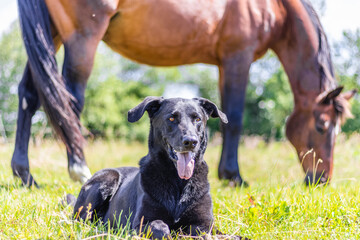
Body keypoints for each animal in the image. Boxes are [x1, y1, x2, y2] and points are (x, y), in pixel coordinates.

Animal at [14, 0, 354, 187]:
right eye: (322, 125)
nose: (320, 180)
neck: (275, 6)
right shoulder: (237, 56)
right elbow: (235, 118)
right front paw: (233, 176)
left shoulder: (222, 62)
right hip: (82, 37)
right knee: (69, 101)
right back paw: (79, 168)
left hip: (51, 33)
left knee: (29, 95)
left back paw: (25, 176)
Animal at [71, 96, 242, 239]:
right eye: (171, 118)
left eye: (198, 119)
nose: (191, 141)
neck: (178, 181)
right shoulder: (141, 223)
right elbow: (160, 226)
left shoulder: (204, 223)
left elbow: (201, 231)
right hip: (107, 178)